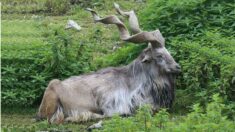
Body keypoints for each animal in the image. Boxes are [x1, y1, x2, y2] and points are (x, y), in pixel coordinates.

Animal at [36, 2, 180, 124]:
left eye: (168, 52)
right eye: (159, 55)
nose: (177, 67)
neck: (135, 81)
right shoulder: (110, 104)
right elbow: (113, 114)